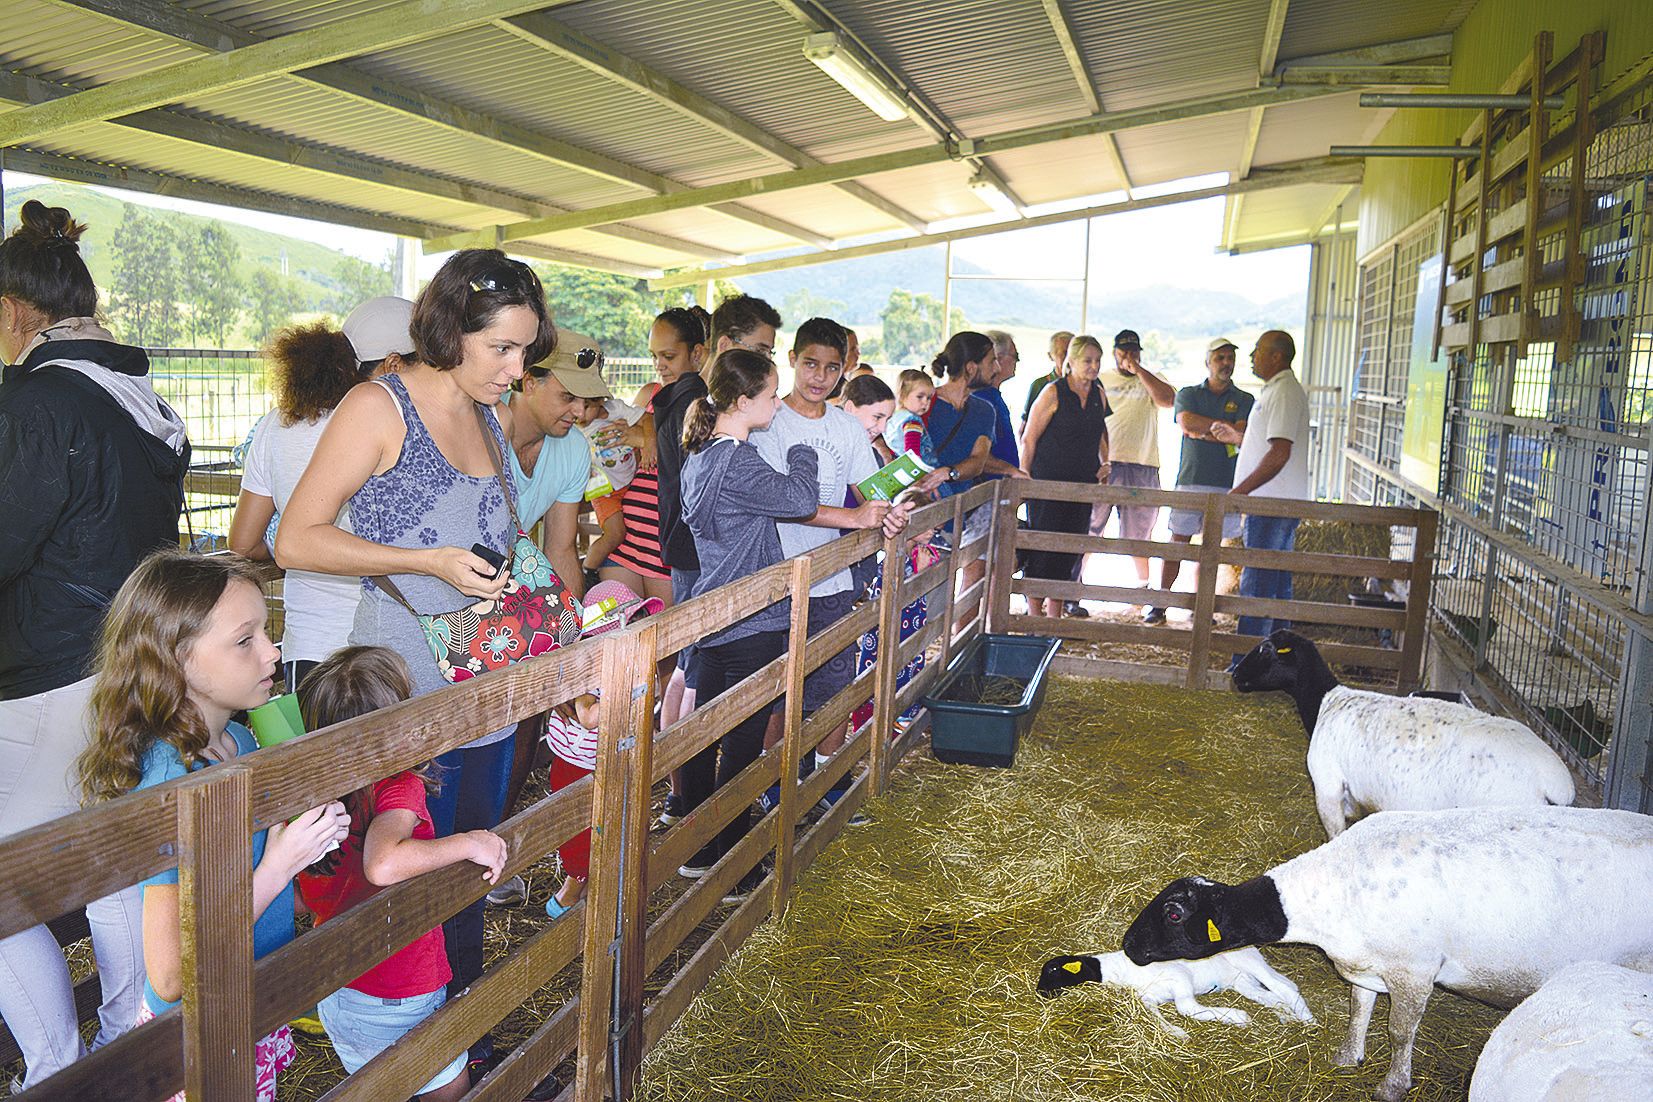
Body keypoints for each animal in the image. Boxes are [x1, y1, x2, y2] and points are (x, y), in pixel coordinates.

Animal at [1031, 945, 1315, 1037]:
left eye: (1053, 970)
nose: (1039, 992)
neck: (1119, 969)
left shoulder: (1180, 978)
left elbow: (1186, 1008)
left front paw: (1237, 1017)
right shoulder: (1149, 996)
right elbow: (1153, 1013)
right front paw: (1176, 1032)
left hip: (1247, 960)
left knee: (1285, 985)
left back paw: (1308, 1021)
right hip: (1242, 981)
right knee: (1269, 996)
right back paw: (1286, 1016)